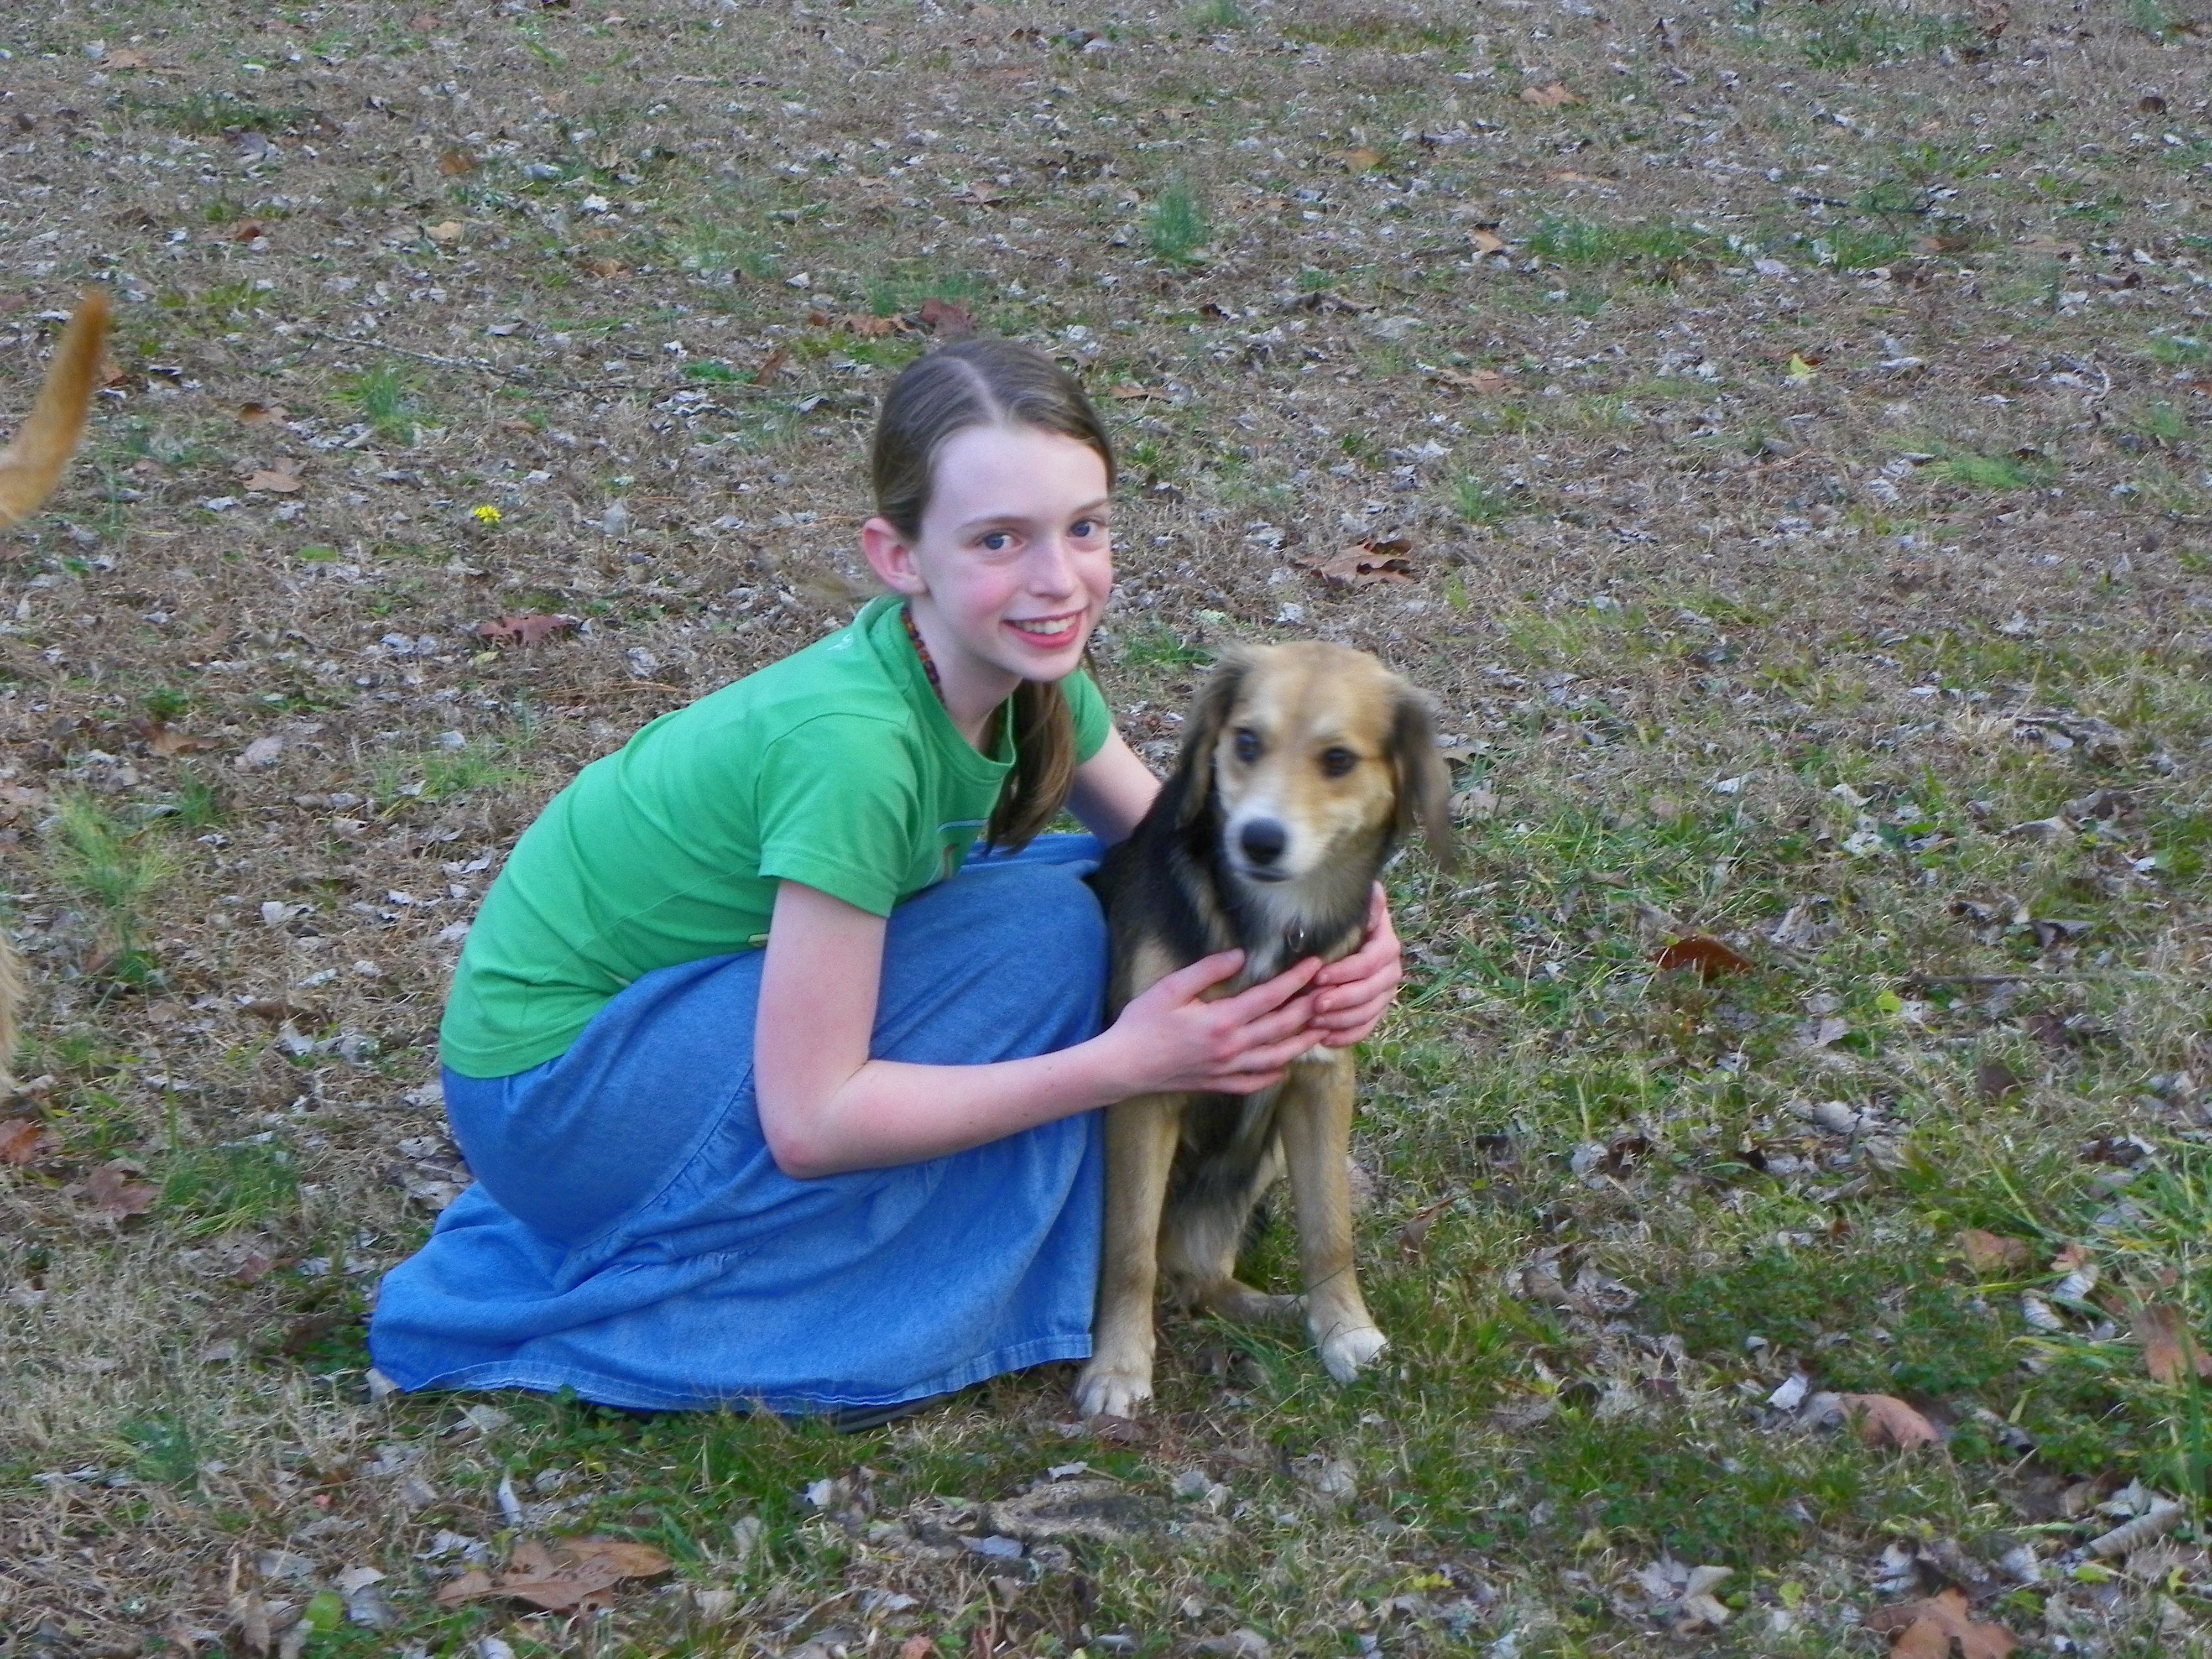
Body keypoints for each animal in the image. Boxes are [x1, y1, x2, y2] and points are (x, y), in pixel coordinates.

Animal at [1073, 641, 1454, 1418]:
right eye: (1246, 743)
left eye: (1338, 760)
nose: (1259, 840)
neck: (1272, 924)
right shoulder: (1143, 1084)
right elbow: (1127, 1252)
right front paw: (1119, 1369)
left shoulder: (1320, 1076)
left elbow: (1329, 1230)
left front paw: (1344, 1330)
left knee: (1201, 1277)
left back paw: (1282, 1313)